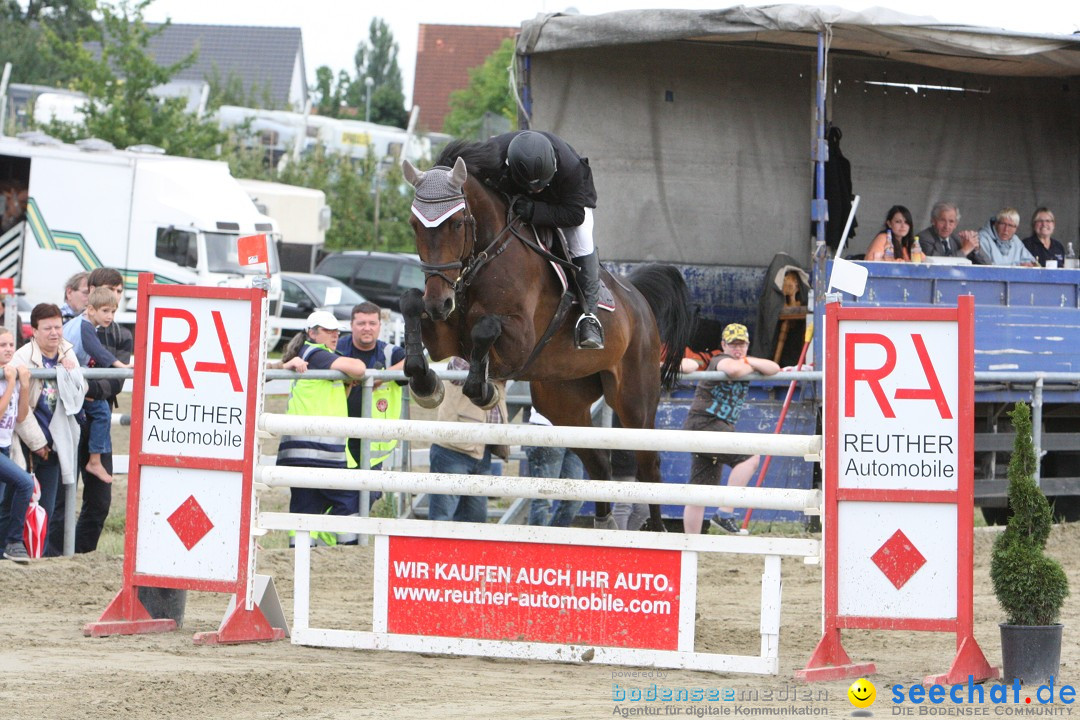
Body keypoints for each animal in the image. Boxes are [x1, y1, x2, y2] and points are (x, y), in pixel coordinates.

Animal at [399, 139, 691, 528]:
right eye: (415, 225)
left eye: (458, 223)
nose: (439, 302)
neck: (488, 255)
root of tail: (639, 300)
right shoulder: (446, 335)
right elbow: (409, 303)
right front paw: (426, 383)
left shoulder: (519, 342)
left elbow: (484, 330)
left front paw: (485, 392)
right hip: (563, 402)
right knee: (599, 466)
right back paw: (605, 527)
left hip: (635, 401)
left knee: (650, 467)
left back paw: (656, 532)